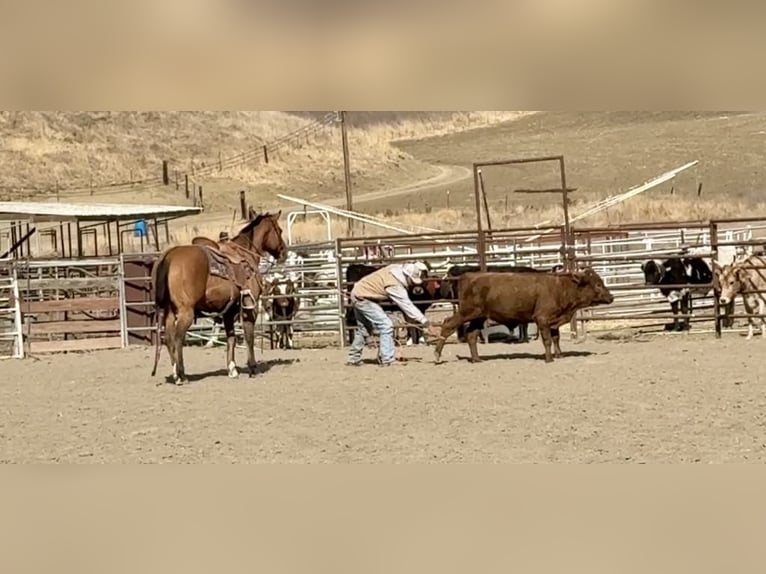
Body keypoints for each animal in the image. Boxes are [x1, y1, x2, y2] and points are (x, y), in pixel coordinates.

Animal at [150, 211, 287, 384]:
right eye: (280, 230)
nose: (284, 252)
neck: (245, 253)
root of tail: (169, 256)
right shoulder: (250, 307)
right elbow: (249, 336)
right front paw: (252, 368)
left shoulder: (228, 311)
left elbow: (231, 338)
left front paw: (232, 369)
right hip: (185, 311)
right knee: (178, 337)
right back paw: (182, 375)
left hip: (169, 311)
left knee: (168, 338)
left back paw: (175, 374)